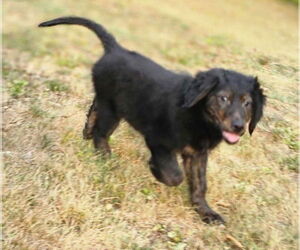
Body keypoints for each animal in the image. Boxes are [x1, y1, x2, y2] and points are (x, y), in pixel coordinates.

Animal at [38, 17, 264, 225]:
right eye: (223, 98)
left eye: (248, 103)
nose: (239, 127)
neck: (199, 117)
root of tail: (116, 50)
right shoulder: (158, 140)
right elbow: (174, 174)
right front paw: (156, 170)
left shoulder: (198, 154)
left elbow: (200, 184)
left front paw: (206, 212)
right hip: (112, 109)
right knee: (101, 134)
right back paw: (105, 158)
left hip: (109, 103)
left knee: (95, 109)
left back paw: (88, 129)